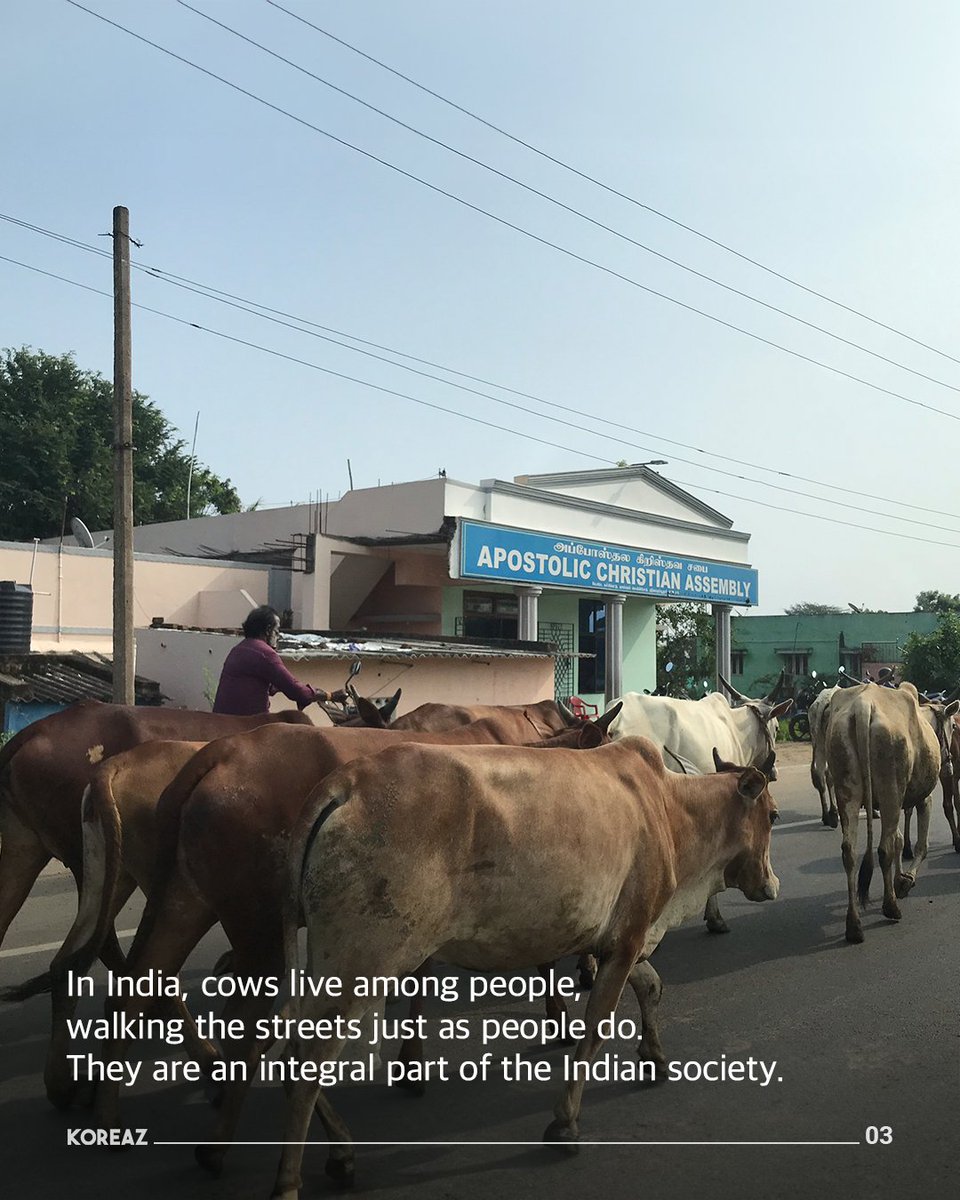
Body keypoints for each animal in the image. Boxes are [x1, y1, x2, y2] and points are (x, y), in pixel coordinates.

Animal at [268, 736, 780, 1195]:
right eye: (773, 815)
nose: (772, 885)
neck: (670, 811)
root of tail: (344, 783)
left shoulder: (617, 941)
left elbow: (651, 986)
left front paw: (654, 1059)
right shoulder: (631, 934)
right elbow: (597, 1027)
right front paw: (565, 1123)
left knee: (291, 1049)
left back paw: (342, 1151)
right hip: (363, 962)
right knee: (306, 1063)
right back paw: (293, 1180)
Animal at [825, 683, 958, 943]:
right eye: (953, 726)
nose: (948, 766)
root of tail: (863, 705)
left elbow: (898, 839)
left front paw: (899, 879)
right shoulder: (923, 799)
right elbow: (920, 846)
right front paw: (905, 882)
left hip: (848, 789)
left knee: (850, 851)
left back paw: (854, 925)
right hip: (890, 786)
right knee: (883, 849)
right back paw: (891, 907)